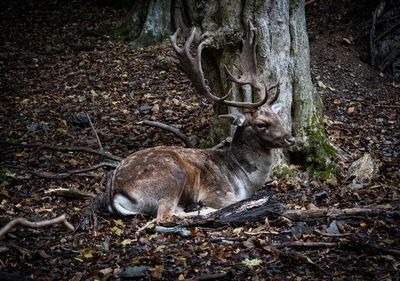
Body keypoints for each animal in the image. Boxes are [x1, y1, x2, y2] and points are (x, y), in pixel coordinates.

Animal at [108, 22, 296, 223]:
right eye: (261, 124)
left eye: (278, 117)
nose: (291, 139)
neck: (243, 180)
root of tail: (115, 193)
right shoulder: (216, 191)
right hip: (171, 177)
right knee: (164, 216)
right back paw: (204, 210)